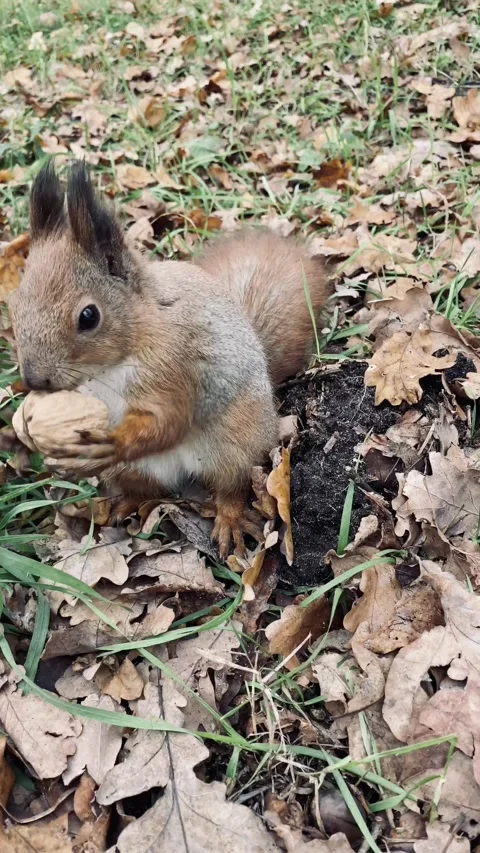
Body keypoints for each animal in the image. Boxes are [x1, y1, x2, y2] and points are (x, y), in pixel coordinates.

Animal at [10, 161, 329, 557]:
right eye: (14, 303)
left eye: (88, 316)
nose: (34, 380)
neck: (108, 368)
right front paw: (26, 430)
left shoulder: (175, 364)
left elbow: (169, 421)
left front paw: (114, 441)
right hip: (131, 471)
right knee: (151, 489)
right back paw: (125, 505)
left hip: (234, 445)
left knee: (231, 487)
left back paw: (229, 519)